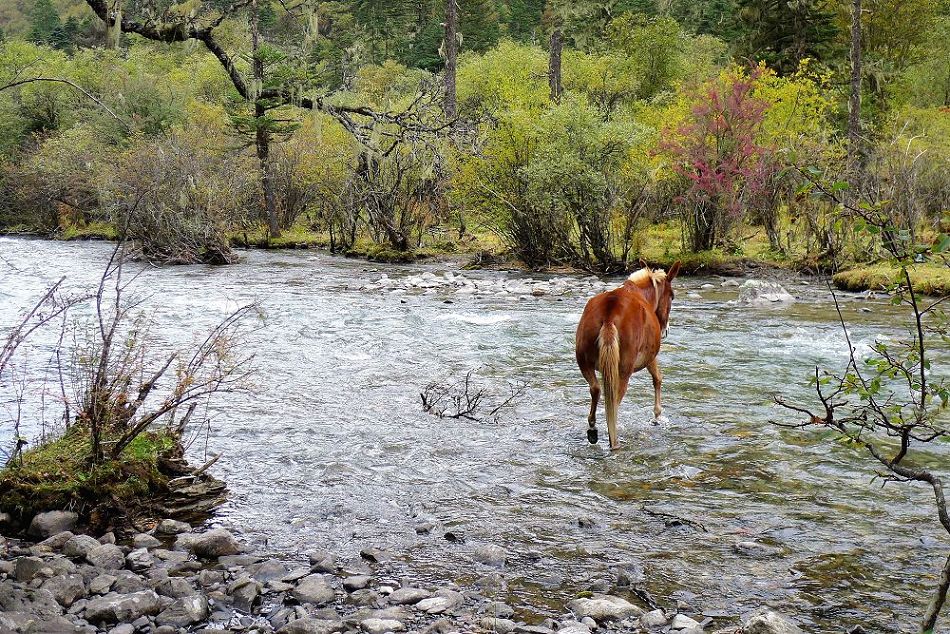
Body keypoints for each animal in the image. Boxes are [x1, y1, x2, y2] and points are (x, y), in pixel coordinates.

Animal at [576, 262, 680, 450]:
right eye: (672, 296)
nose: (665, 330)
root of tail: (609, 316)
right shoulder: (650, 357)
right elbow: (658, 378)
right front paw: (657, 415)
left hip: (584, 361)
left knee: (596, 389)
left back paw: (593, 429)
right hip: (624, 369)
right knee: (613, 404)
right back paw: (614, 442)